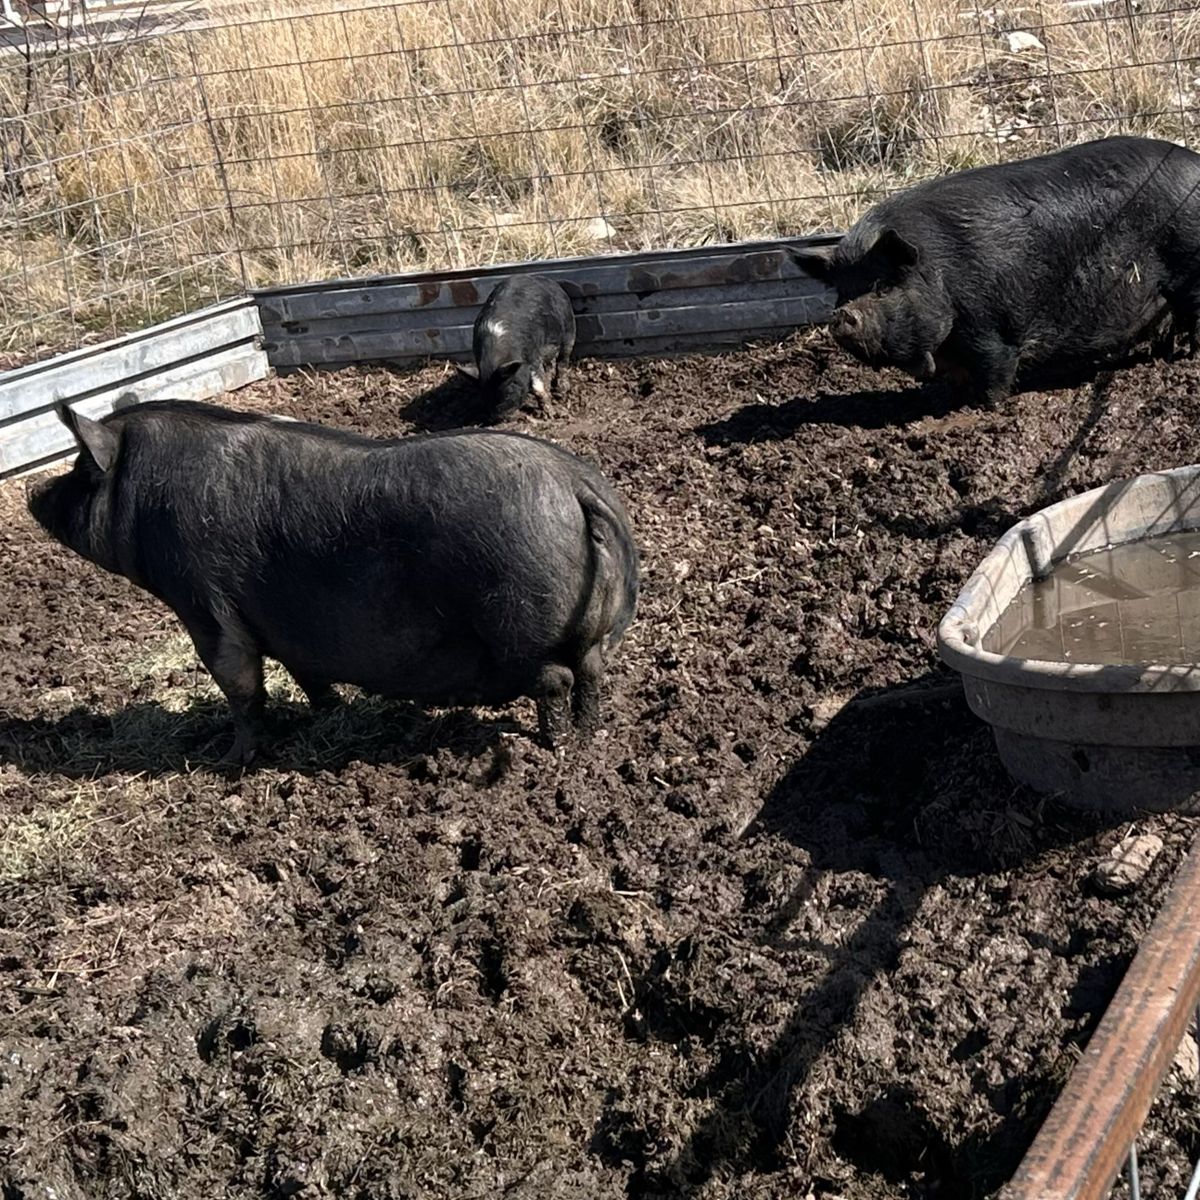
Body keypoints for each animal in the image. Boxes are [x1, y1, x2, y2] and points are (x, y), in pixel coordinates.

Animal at [27, 400, 639, 765]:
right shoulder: (293, 631)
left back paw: (555, 748)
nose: (33, 493)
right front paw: (325, 713)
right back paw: (588, 736)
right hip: (581, 630)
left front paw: (231, 762)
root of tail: (574, 484)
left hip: (520, 622)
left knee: (555, 680)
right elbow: (308, 675)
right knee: (590, 672)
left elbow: (241, 687)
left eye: (81, 472)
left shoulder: (204, 605)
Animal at [458, 275, 576, 420]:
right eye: (484, 395)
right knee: (550, 365)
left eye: (508, 391)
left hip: (569, 329)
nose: (501, 418)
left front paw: (550, 415)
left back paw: (561, 390)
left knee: (563, 361)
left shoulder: (532, 354)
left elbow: (538, 386)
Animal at [787, 136, 1200, 405]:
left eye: (883, 285)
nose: (842, 315)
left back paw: (1187, 359)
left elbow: (993, 378)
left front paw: (984, 410)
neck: (942, 274)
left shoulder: (991, 331)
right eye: (841, 292)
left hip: (1189, 268)